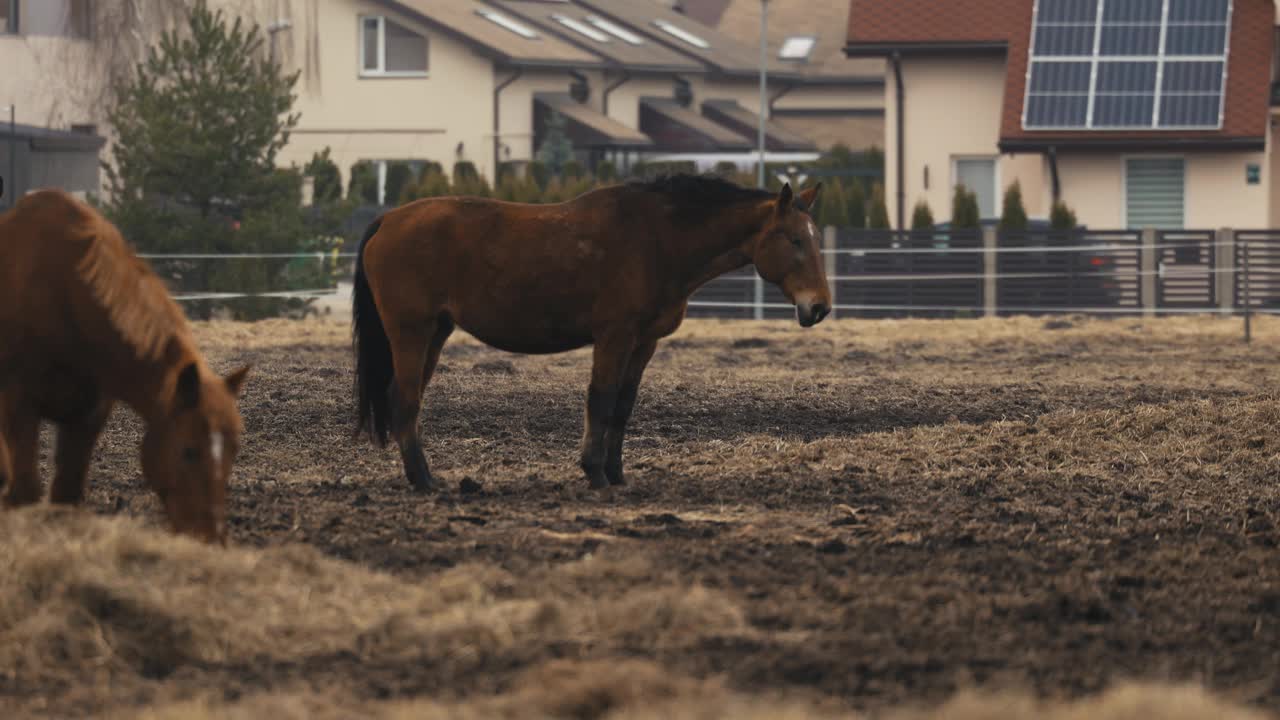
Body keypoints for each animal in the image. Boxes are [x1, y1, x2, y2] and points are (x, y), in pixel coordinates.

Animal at [0, 188, 249, 540]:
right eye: (188, 450)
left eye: (234, 450)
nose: (210, 535)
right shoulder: (18, 405)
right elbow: (25, 493)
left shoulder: (88, 416)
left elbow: (65, 495)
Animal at [350, 174, 829, 489]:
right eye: (794, 240)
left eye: (815, 239)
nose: (820, 307)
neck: (658, 239)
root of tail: (388, 221)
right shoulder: (614, 337)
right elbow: (600, 400)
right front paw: (594, 473)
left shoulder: (643, 343)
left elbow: (622, 406)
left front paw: (615, 473)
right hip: (411, 333)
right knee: (404, 401)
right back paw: (424, 481)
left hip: (435, 333)